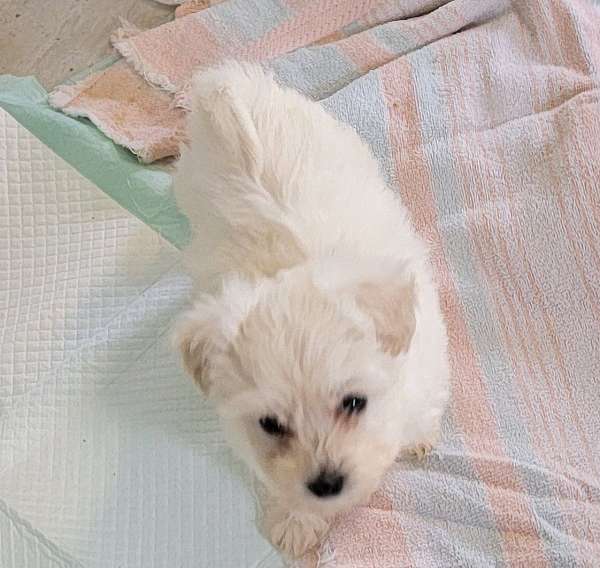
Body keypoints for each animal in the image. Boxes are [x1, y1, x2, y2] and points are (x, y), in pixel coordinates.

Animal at [171, 62, 448, 560]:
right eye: (271, 424)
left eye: (354, 402)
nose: (326, 483)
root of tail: (230, 83)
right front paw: (297, 520)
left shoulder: (425, 365)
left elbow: (423, 410)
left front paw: (419, 439)